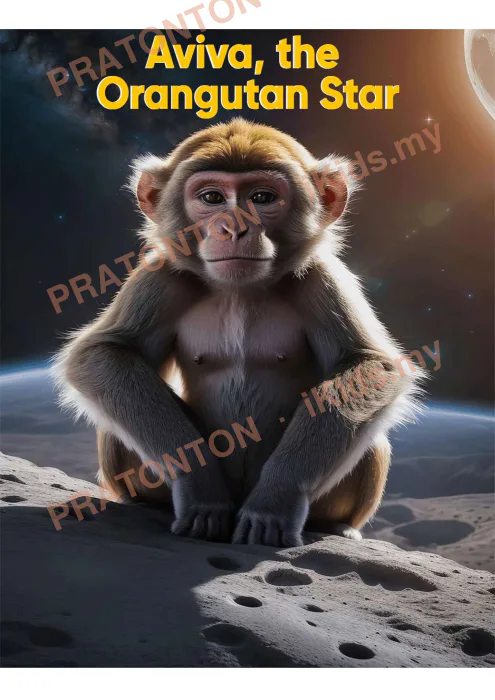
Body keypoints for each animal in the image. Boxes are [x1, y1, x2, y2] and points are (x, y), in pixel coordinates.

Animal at [53, 118, 424, 547]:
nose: (233, 227)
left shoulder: (321, 278)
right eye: (212, 197)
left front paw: (277, 498)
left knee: (369, 436)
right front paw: (199, 485)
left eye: (262, 197)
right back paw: (148, 504)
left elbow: (369, 366)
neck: (239, 290)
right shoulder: (161, 276)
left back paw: (334, 525)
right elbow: (104, 353)